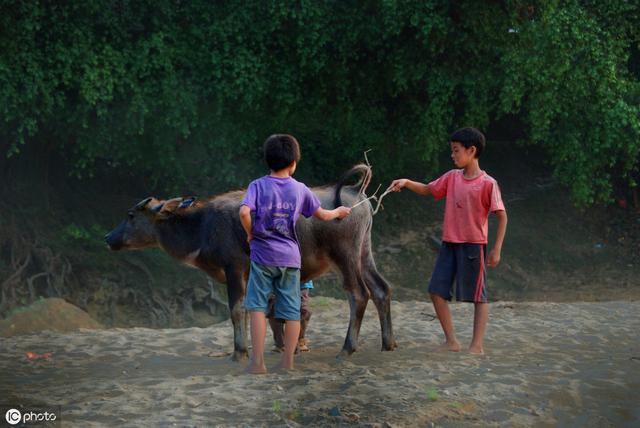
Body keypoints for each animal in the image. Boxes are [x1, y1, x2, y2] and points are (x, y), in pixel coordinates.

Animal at [104, 166, 396, 360]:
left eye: (131, 215)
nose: (108, 237)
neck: (203, 226)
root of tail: (355, 192)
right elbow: (252, 311)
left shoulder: (234, 268)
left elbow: (236, 310)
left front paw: (239, 352)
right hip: (364, 253)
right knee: (381, 289)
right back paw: (388, 343)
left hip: (345, 256)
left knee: (358, 294)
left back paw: (348, 347)